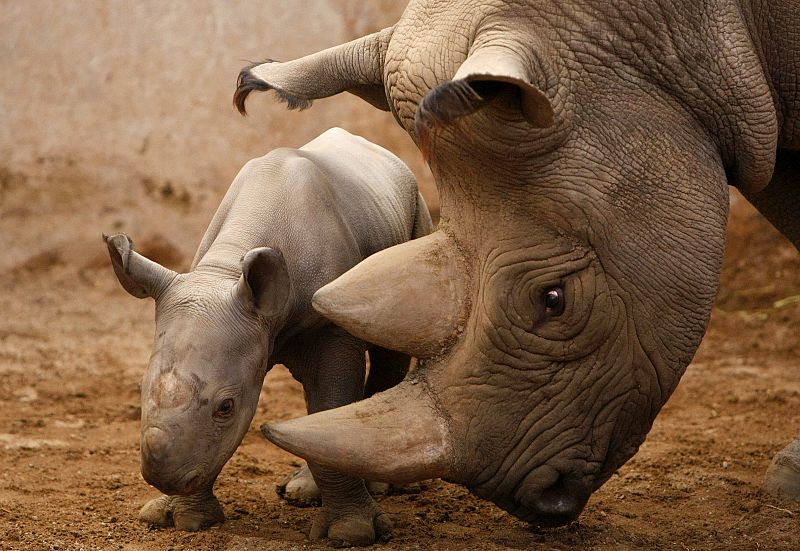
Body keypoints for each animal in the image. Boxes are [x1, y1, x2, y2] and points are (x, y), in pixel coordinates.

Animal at [106, 127, 434, 544]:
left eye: (226, 406)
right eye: (139, 389)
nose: (162, 477)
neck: (225, 272)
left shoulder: (329, 326)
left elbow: (330, 400)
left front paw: (351, 532)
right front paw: (181, 518)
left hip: (414, 213)